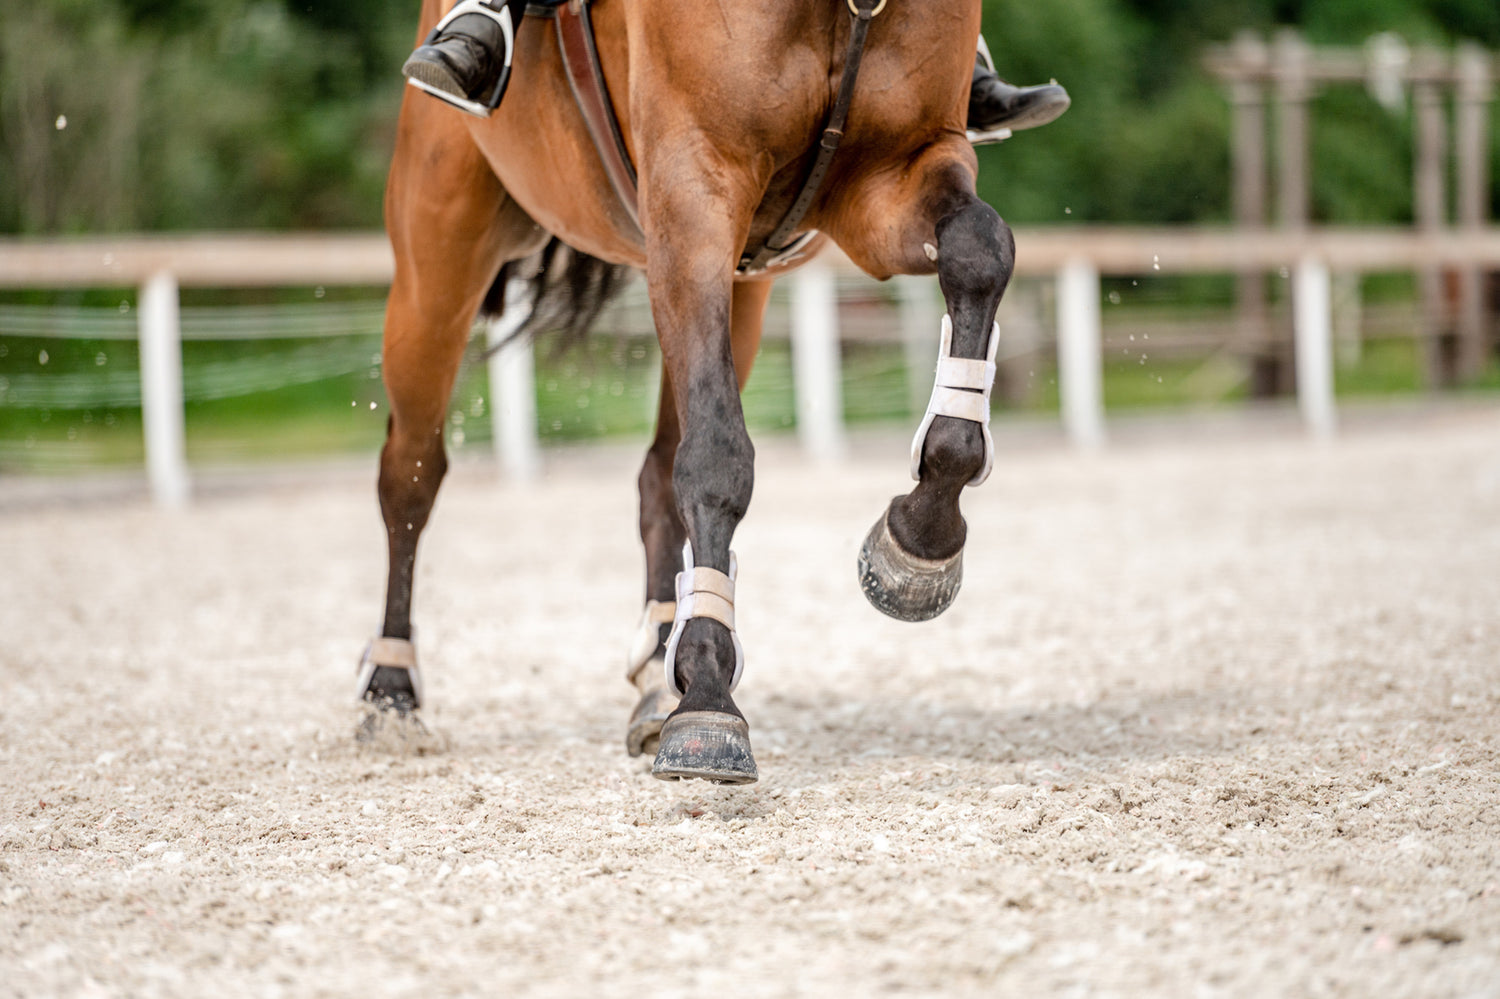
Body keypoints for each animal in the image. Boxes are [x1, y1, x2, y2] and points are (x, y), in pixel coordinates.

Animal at [361, 0, 1016, 784]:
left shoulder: (894, 172)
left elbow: (980, 247)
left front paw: (917, 542)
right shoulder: (693, 188)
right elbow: (716, 458)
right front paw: (707, 693)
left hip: (733, 288)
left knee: (652, 474)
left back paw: (653, 673)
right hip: (438, 263)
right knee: (410, 475)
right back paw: (390, 690)